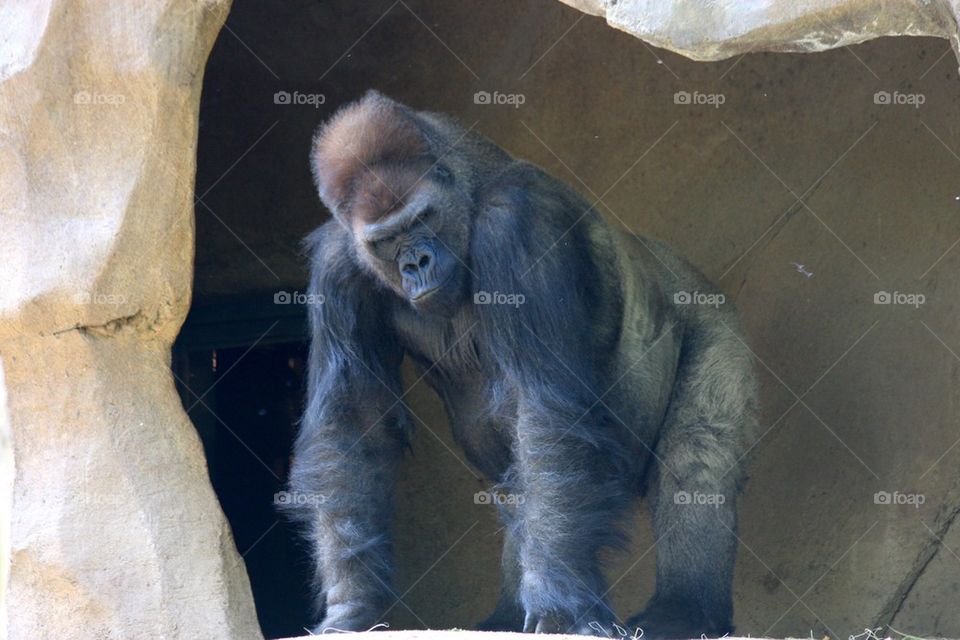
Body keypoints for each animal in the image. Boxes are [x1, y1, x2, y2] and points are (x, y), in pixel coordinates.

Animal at [282, 90, 758, 638]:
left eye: (422, 220)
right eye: (384, 241)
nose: (416, 264)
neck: (467, 190)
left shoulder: (516, 220)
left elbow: (545, 411)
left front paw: (561, 608)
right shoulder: (337, 265)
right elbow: (354, 427)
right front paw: (352, 604)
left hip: (712, 315)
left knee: (697, 450)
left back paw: (685, 610)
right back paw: (508, 614)